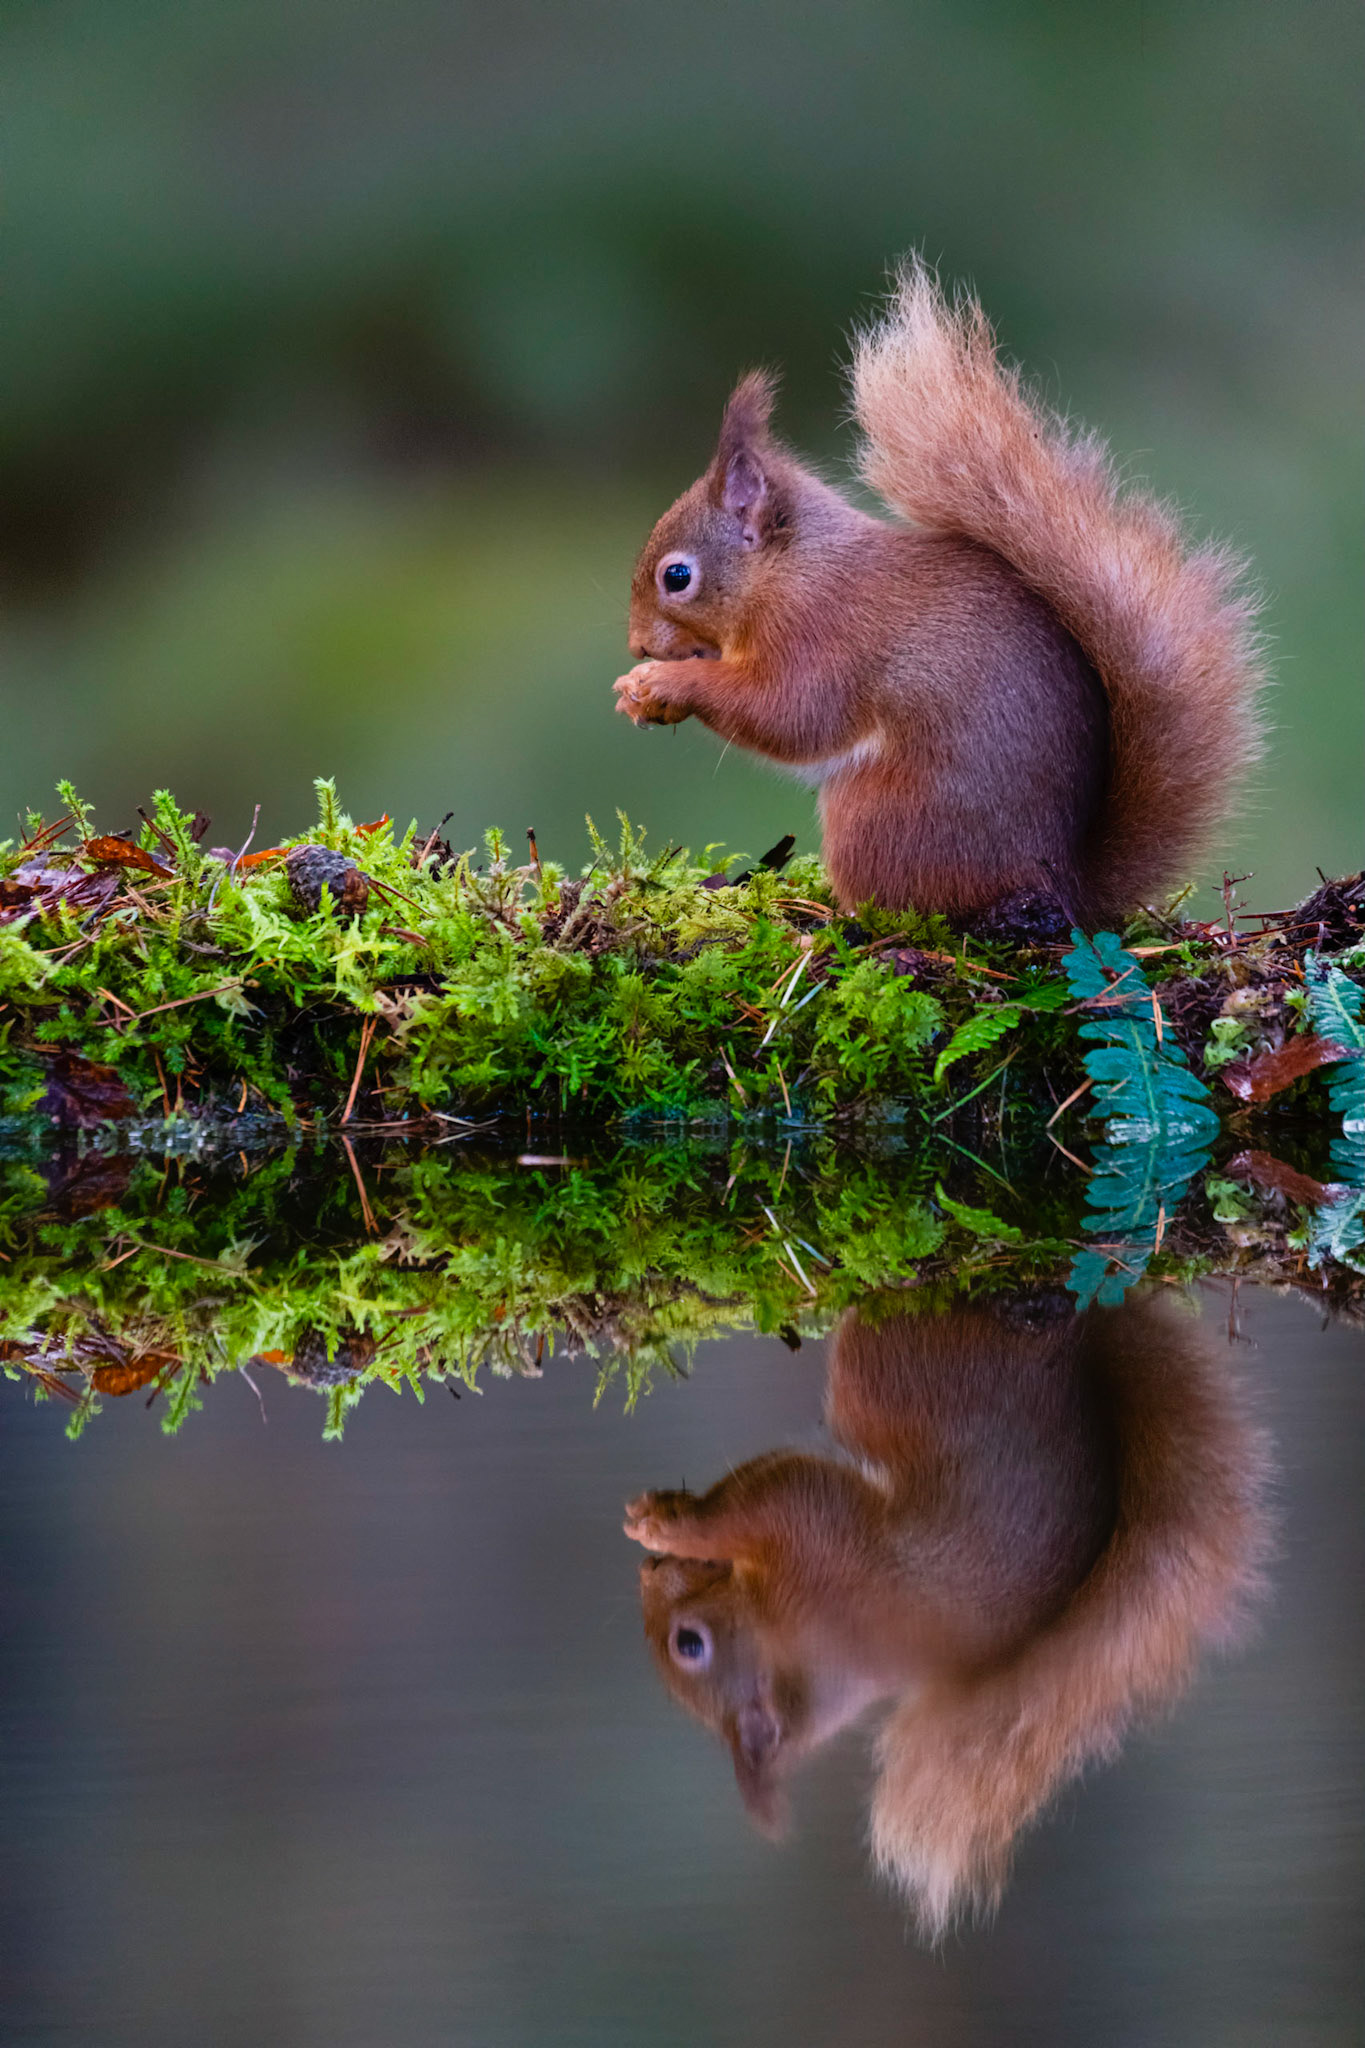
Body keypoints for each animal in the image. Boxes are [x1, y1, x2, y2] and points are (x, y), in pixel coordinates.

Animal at [615, 259, 1265, 928]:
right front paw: (638, 692)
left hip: (877, 816)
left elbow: (789, 713)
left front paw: (666, 684)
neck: (787, 572)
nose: (638, 646)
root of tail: (1058, 884)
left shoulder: (820, 631)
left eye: (676, 577)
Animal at [624, 1292, 1269, 1938]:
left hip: (904, 1367)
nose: (649, 1576)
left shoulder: (810, 1525)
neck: (802, 1645)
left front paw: (668, 1524)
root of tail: (1068, 1359)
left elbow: (746, 1501)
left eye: (688, 1644)